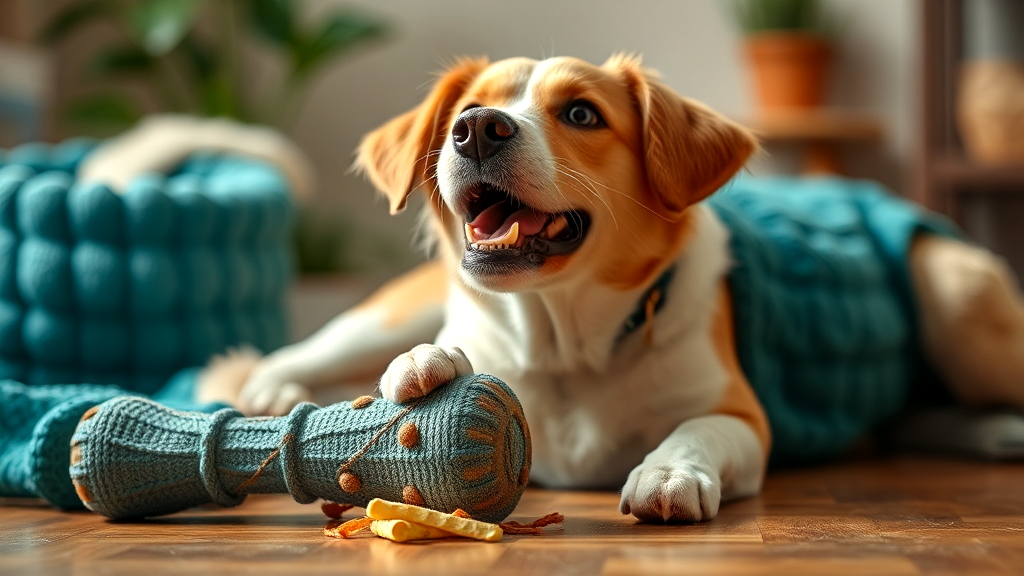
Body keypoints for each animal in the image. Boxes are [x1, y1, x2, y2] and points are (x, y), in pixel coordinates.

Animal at [182, 54, 1024, 520]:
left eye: (582, 113)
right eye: (468, 108)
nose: (476, 128)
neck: (566, 344)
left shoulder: (743, 416)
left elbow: (698, 429)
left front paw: (668, 472)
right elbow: (450, 352)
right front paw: (427, 366)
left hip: (954, 291)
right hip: (386, 312)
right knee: (306, 349)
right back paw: (267, 386)